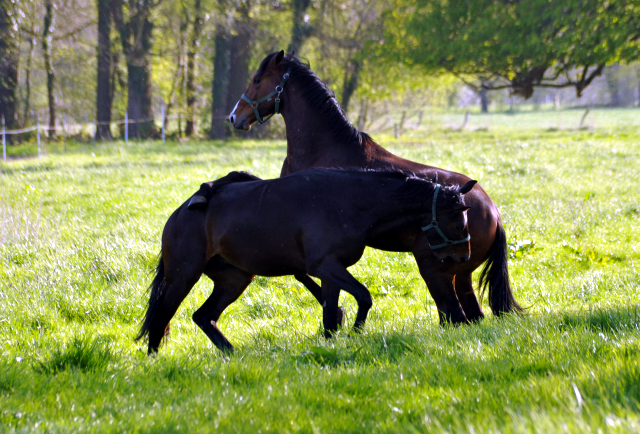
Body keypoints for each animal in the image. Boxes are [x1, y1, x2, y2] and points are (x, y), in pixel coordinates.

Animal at [138, 168, 472, 354]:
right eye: (458, 219)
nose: (462, 256)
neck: (348, 200)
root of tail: (179, 214)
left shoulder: (331, 272)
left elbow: (331, 313)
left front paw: (333, 342)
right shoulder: (324, 266)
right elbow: (364, 297)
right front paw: (356, 332)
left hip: (234, 280)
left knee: (203, 316)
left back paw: (232, 354)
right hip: (184, 275)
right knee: (162, 316)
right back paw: (154, 360)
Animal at [228, 50, 524, 324]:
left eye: (256, 80)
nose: (234, 117)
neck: (324, 148)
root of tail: (493, 212)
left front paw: (337, 315)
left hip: (436, 271)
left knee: (454, 316)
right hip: (461, 275)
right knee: (470, 316)